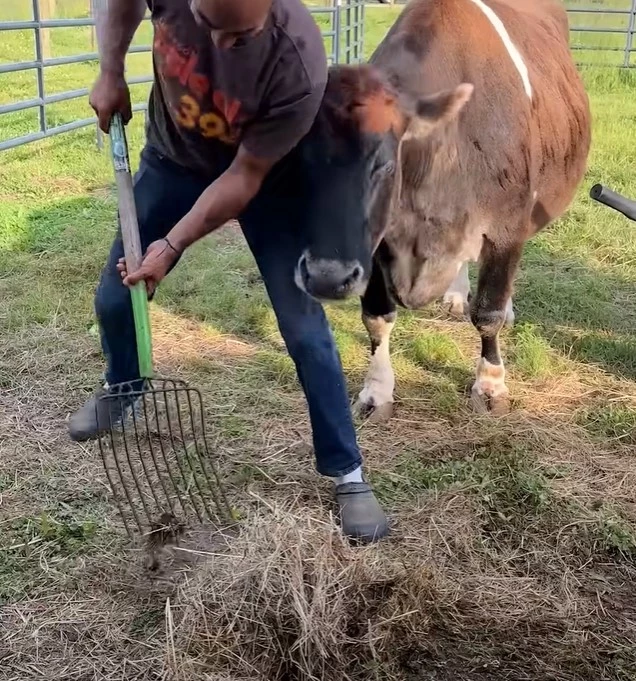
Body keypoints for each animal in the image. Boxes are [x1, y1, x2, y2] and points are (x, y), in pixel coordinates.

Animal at [294, 0, 592, 414]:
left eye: (385, 164)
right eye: (294, 160)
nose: (326, 276)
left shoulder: (506, 228)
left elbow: (487, 312)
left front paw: (490, 384)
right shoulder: (377, 244)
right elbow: (377, 317)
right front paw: (376, 391)